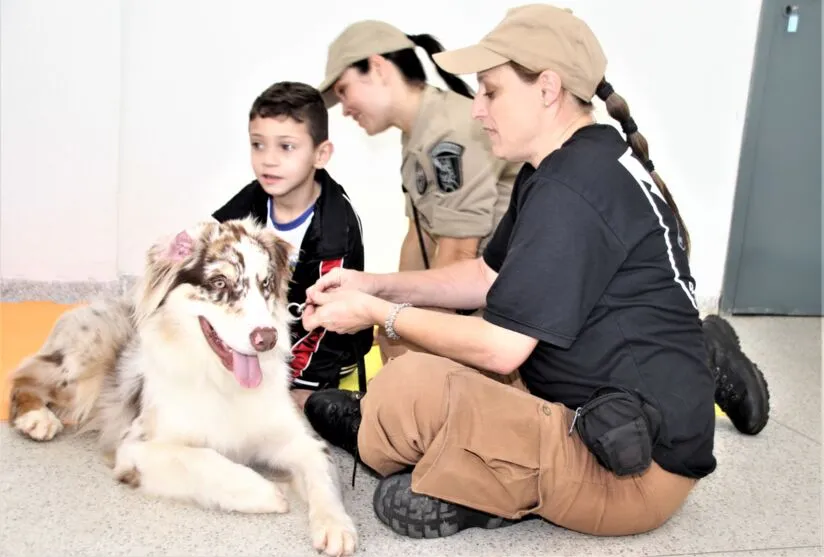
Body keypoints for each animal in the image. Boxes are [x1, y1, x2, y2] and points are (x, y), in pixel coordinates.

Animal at [6, 217, 358, 556]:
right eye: (219, 283)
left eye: (266, 284)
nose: (266, 338)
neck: (223, 381)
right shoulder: (136, 447)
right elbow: (203, 458)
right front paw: (267, 492)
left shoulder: (303, 441)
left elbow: (323, 479)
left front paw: (336, 526)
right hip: (84, 360)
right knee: (24, 374)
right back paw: (36, 418)